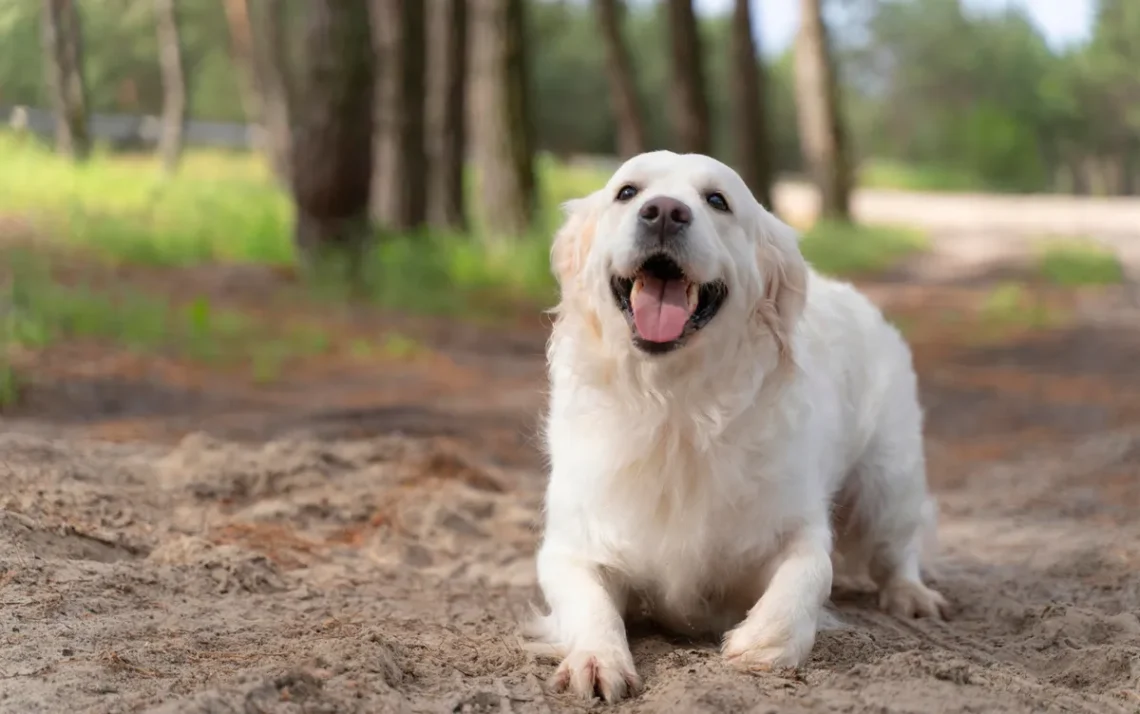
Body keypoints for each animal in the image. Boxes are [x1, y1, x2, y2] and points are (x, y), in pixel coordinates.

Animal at [526, 151, 953, 702]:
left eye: (717, 200)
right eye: (627, 192)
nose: (664, 212)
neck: (675, 408)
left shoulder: (795, 524)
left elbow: (811, 571)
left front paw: (762, 642)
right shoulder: (573, 544)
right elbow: (589, 602)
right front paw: (598, 659)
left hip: (888, 481)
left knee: (898, 548)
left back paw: (912, 595)